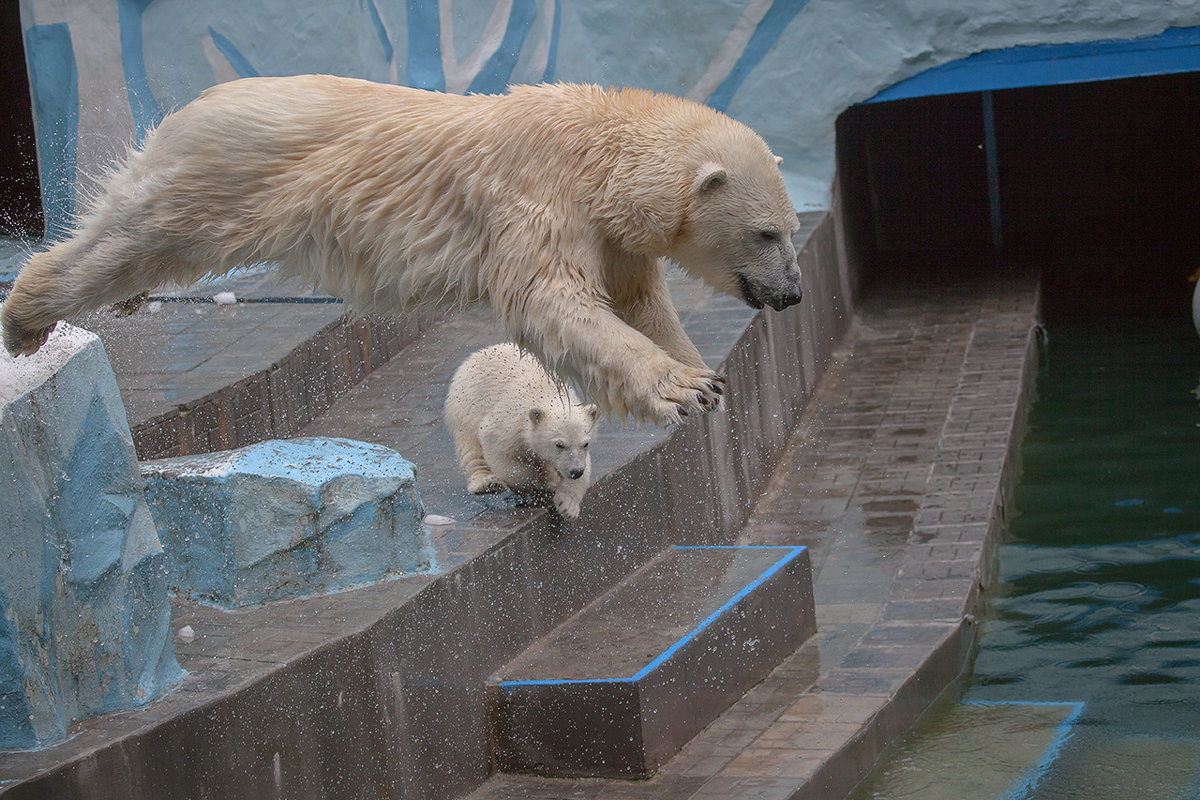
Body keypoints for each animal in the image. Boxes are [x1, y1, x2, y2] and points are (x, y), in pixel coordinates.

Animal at [7, 74, 806, 424]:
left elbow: (636, 299)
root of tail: (192, 105)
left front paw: (702, 373)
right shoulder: (538, 197)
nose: (793, 293)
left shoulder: (610, 230)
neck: (595, 150)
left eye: (790, 232)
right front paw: (684, 388)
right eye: (767, 232)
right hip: (224, 177)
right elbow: (553, 301)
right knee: (135, 236)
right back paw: (27, 314)